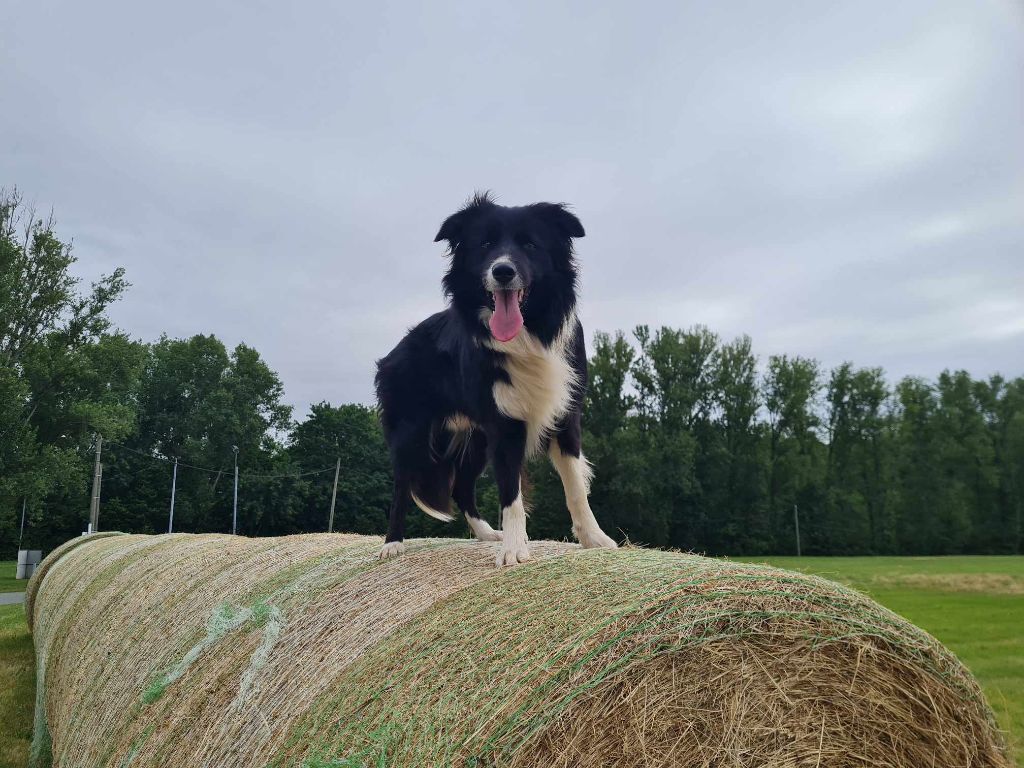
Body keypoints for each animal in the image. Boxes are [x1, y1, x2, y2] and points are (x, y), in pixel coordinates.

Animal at [374, 192, 614, 565]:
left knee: (461, 487)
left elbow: (575, 486)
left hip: (474, 438)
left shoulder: (565, 414)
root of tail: (394, 352)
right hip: (410, 432)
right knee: (402, 486)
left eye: (530, 244)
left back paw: (487, 534)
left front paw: (595, 539)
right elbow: (510, 493)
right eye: (485, 244)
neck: (530, 334)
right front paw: (515, 551)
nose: (502, 271)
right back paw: (392, 543)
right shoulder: (505, 423)